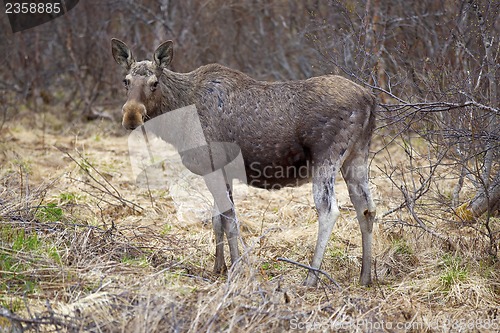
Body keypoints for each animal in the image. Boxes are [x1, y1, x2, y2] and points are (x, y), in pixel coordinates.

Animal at [111, 37, 376, 284]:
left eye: (154, 83)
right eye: (126, 81)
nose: (131, 116)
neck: (177, 121)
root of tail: (369, 99)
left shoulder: (212, 166)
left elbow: (229, 221)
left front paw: (237, 269)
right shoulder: (221, 170)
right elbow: (217, 220)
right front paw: (218, 267)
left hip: (326, 157)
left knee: (329, 210)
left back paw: (311, 277)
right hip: (357, 156)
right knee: (366, 208)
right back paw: (365, 276)